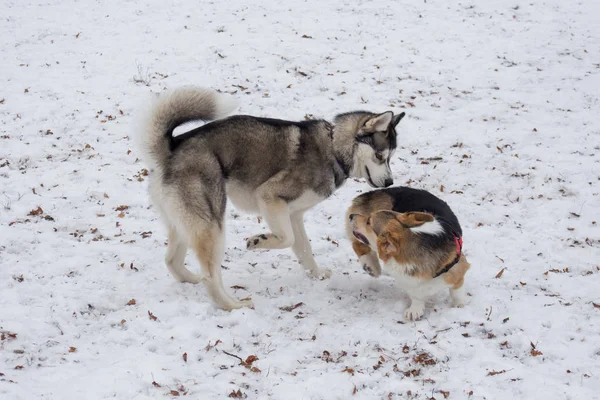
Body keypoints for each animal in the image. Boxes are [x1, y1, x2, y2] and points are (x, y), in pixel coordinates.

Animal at [346, 186, 468, 320]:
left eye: (368, 221)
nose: (351, 216)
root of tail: (375, 192)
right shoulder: (408, 280)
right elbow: (416, 295)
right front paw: (415, 310)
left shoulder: (459, 270)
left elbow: (456, 292)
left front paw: (459, 306)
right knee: (357, 244)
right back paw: (371, 266)